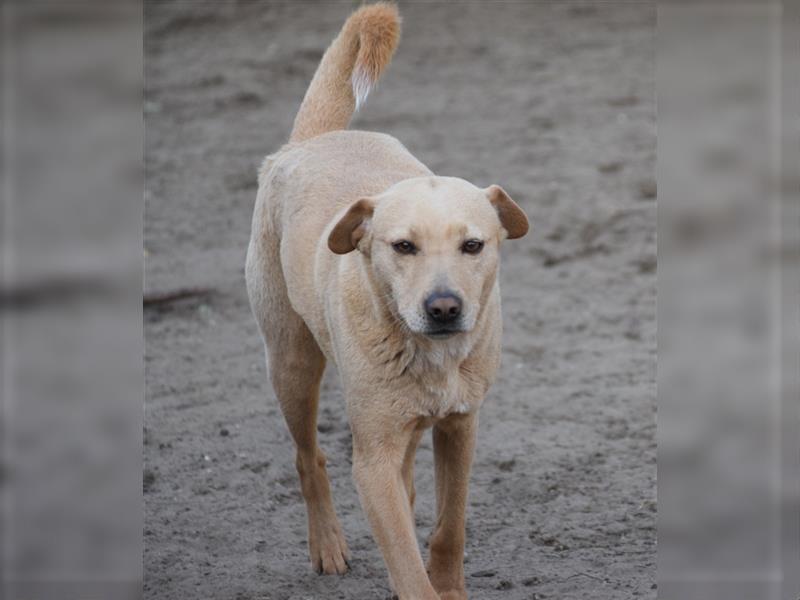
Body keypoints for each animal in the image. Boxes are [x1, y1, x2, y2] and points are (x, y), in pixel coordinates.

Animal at [247, 5, 528, 600]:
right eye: (402, 246)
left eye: (473, 245)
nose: (444, 307)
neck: (429, 355)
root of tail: (313, 139)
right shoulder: (371, 461)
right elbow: (405, 558)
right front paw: (417, 582)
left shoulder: (460, 428)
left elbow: (448, 528)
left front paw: (450, 586)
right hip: (292, 365)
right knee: (309, 458)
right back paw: (327, 544)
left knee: (407, 487)